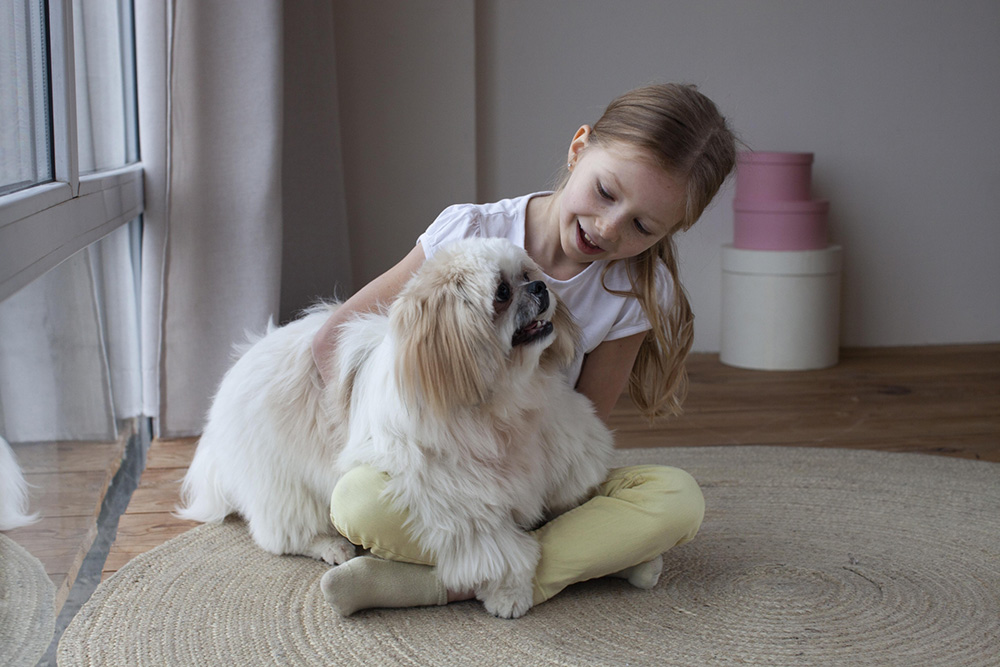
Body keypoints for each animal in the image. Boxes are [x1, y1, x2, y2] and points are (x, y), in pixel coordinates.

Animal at [181, 237, 616, 620]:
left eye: (528, 274)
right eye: (503, 292)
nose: (542, 287)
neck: (504, 401)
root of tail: (241, 362)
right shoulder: (452, 495)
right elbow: (498, 550)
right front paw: (509, 594)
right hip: (284, 486)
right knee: (283, 534)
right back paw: (332, 547)